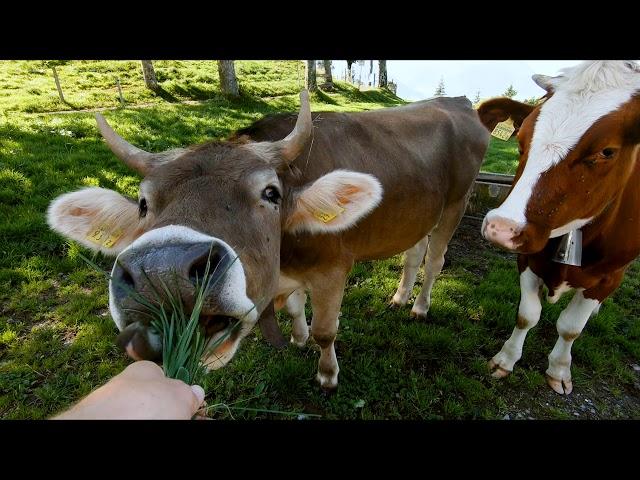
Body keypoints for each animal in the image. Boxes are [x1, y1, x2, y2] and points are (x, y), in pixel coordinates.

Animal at [48, 90, 490, 390]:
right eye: (142, 203)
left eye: (271, 193)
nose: (161, 272)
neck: (286, 263)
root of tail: (458, 103)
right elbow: (295, 307)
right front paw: (297, 337)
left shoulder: (334, 269)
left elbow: (327, 330)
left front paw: (326, 374)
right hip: (423, 210)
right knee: (415, 252)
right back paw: (399, 298)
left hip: (457, 201)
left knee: (436, 260)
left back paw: (419, 306)